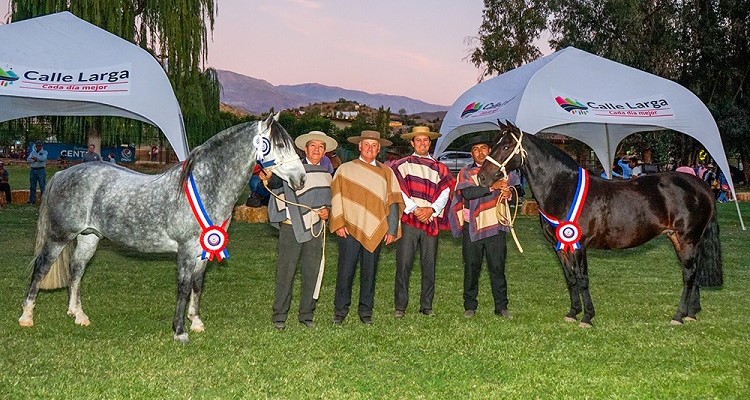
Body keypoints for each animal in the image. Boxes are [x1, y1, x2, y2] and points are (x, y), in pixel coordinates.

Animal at [18, 114, 306, 342]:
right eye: (279, 144)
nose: (301, 178)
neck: (206, 185)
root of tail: (62, 174)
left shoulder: (203, 250)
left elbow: (198, 285)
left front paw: (196, 322)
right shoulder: (187, 250)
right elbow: (183, 287)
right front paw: (179, 331)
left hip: (89, 237)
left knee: (76, 270)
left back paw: (78, 315)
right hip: (58, 237)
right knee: (41, 269)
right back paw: (26, 317)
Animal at [478, 121, 724, 324]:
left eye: (506, 147)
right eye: (493, 144)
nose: (481, 177)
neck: (563, 188)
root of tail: (701, 186)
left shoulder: (579, 244)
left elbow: (582, 278)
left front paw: (587, 317)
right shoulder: (560, 246)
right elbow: (570, 278)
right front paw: (572, 313)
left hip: (688, 238)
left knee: (689, 274)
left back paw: (679, 316)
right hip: (679, 239)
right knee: (693, 272)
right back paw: (691, 313)